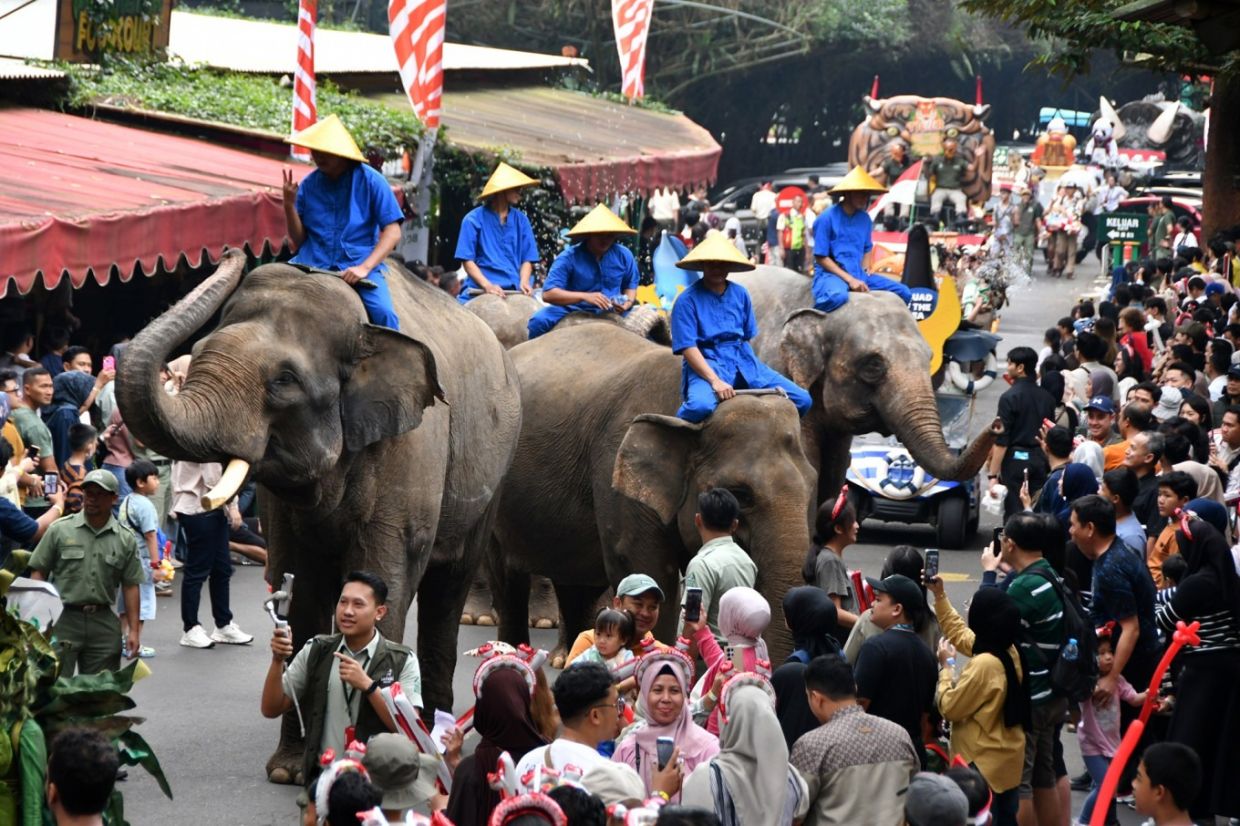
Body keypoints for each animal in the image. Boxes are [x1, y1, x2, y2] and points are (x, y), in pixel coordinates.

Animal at [116, 250, 521, 783]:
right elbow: (302, 589)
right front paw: (288, 770)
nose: (231, 253)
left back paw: (437, 736)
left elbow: (385, 572)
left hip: (491, 475)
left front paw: (378, 751)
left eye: (284, 380)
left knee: (447, 590)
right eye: (198, 350)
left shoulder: (412, 448)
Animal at [490, 323, 815, 661]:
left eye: (811, 485)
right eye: (741, 494)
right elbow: (650, 572)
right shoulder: (615, 471)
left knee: (575, 585)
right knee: (507, 580)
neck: (689, 418)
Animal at [732, 265, 997, 507]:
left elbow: (834, 473)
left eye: (930, 357)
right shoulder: (783, 379)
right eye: (873, 365)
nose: (997, 424)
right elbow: (808, 468)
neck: (819, 309)